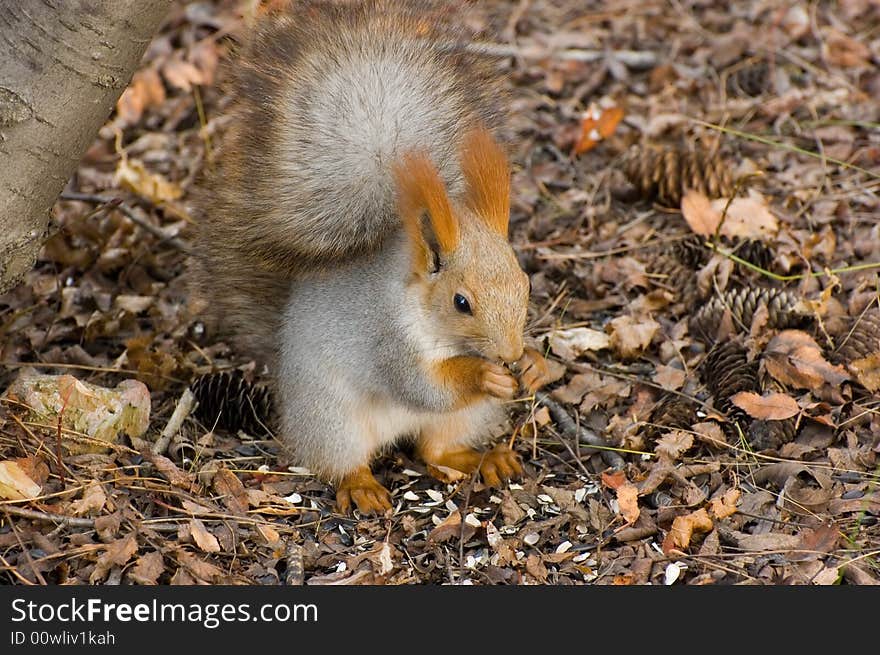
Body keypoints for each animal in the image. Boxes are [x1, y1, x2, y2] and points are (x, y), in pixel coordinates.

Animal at [192, 0, 552, 516]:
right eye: (461, 302)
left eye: (527, 285)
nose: (508, 354)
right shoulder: (385, 339)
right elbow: (424, 387)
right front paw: (485, 373)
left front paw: (536, 364)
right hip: (332, 419)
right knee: (345, 462)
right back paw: (362, 486)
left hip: (462, 420)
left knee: (435, 449)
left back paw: (486, 459)